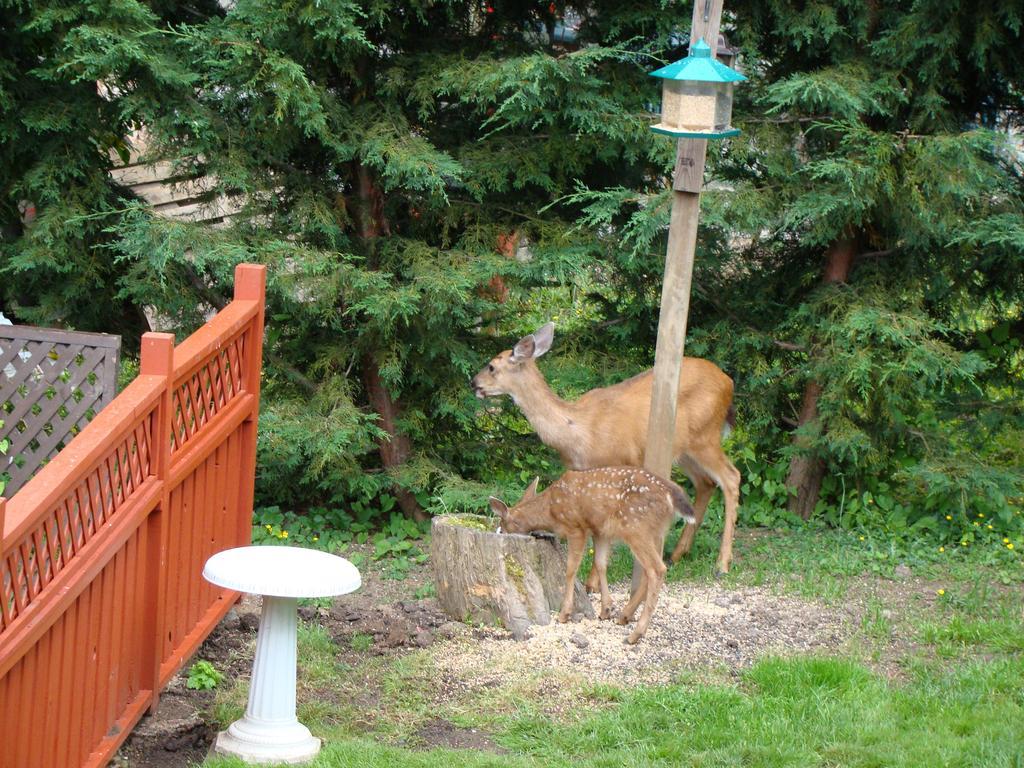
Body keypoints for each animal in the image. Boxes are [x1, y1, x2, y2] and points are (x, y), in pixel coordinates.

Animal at [471, 323, 745, 577]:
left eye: (492, 366)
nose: (473, 383)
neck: (578, 430)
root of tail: (729, 382)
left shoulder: (621, 464)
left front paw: (593, 582)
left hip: (705, 436)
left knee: (731, 477)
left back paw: (722, 564)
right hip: (684, 448)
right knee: (706, 483)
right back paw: (677, 554)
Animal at [487, 468, 696, 643]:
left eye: (501, 528)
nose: (497, 534)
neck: (550, 510)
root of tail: (672, 494)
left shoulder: (576, 528)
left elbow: (571, 569)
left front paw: (564, 613)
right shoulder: (600, 532)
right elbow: (601, 564)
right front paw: (605, 610)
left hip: (636, 528)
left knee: (657, 569)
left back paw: (635, 634)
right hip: (656, 532)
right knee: (652, 569)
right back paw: (624, 616)